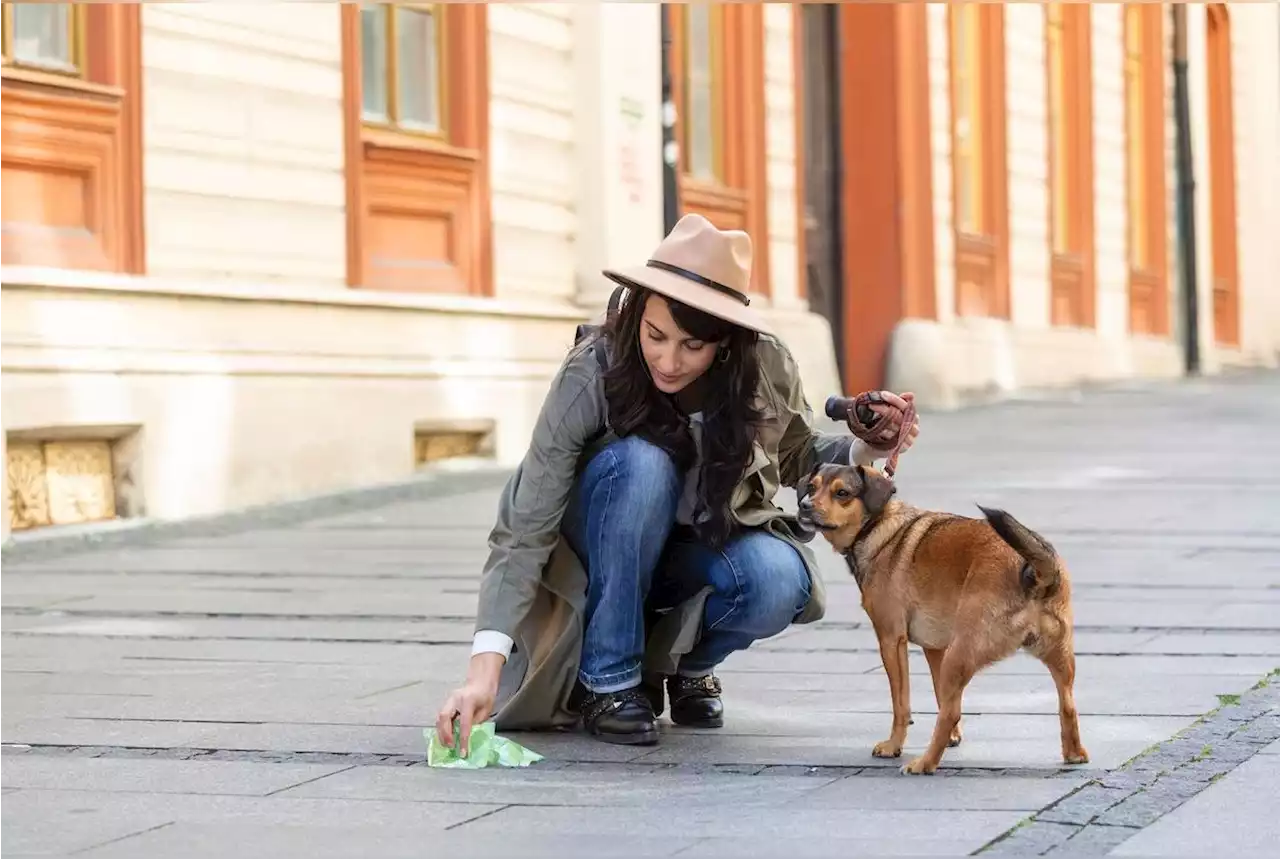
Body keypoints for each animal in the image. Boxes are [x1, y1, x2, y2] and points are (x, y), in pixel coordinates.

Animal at [798, 465, 1090, 778]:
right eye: (812, 487)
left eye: (842, 493)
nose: (804, 506)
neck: (878, 527)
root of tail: (1033, 570)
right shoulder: (935, 649)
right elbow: (941, 696)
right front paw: (953, 737)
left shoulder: (891, 640)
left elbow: (902, 704)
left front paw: (894, 745)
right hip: (1058, 656)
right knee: (1067, 704)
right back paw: (1074, 754)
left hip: (960, 653)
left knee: (949, 712)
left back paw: (924, 763)